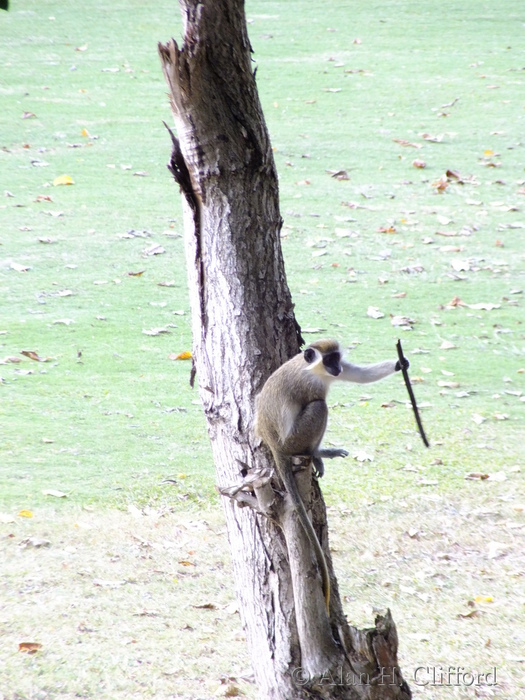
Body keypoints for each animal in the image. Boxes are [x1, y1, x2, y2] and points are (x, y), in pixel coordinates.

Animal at [254, 339, 409, 612]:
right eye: (328, 360)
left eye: (337, 358)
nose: (336, 367)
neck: (312, 370)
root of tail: (275, 445)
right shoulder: (307, 385)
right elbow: (316, 399)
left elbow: (359, 374)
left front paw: (400, 363)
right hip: (294, 439)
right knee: (319, 406)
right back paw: (315, 453)